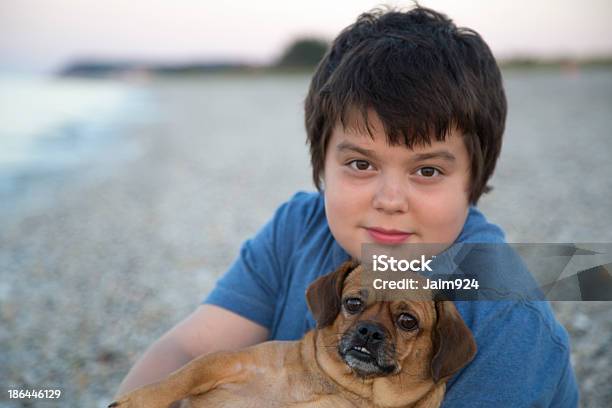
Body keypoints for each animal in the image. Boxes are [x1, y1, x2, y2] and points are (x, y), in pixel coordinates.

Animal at [109, 262, 474, 408]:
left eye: (407, 321)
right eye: (353, 303)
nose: (369, 331)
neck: (349, 386)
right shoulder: (229, 360)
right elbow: (181, 377)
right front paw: (138, 400)